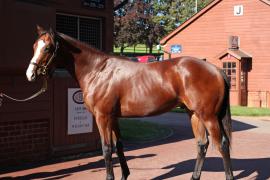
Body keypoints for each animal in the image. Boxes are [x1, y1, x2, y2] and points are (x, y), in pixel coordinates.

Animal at [26, 25, 235, 180]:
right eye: (34, 46)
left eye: (47, 48)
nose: (30, 74)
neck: (98, 70)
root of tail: (215, 69)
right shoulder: (114, 118)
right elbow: (119, 146)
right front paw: (124, 175)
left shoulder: (102, 117)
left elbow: (107, 149)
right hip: (194, 114)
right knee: (202, 144)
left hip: (208, 116)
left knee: (222, 145)